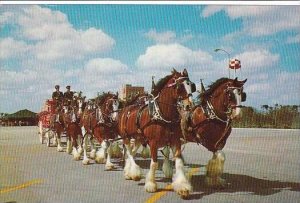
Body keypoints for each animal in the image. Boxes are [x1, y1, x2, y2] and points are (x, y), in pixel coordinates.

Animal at [116, 68, 196, 198]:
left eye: (191, 86)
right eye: (179, 86)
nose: (189, 105)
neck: (162, 115)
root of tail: (126, 108)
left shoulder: (175, 141)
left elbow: (179, 162)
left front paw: (183, 186)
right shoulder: (153, 142)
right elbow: (154, 163)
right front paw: (151, 185)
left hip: (138, 138)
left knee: (131, 152)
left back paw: (129, 172)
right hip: (126, 137)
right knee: (129, 151)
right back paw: (134, 173)